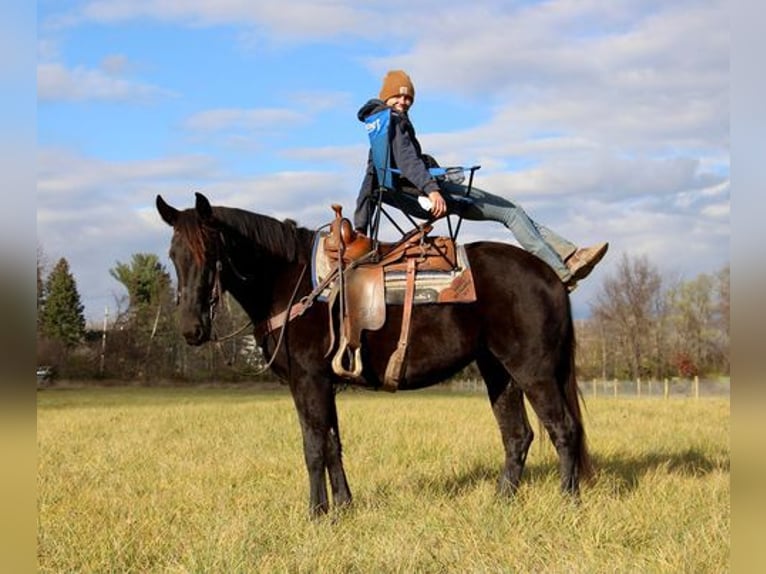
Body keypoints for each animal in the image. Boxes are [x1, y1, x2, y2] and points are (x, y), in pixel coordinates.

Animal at [156, 194, 592, 516]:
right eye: (174, 254)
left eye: (211, 251)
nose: (191, 328)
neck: (288, 282)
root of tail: (552, 275)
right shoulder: (324, 384)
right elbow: (332, 445)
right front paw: (344, 507)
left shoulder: (309, 380)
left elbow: (313, 446)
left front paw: (316, 513)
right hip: (498, 371)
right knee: (517, 435)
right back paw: (501, 503)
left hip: (533, 370)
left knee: (563, 430)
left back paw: (566, 503)